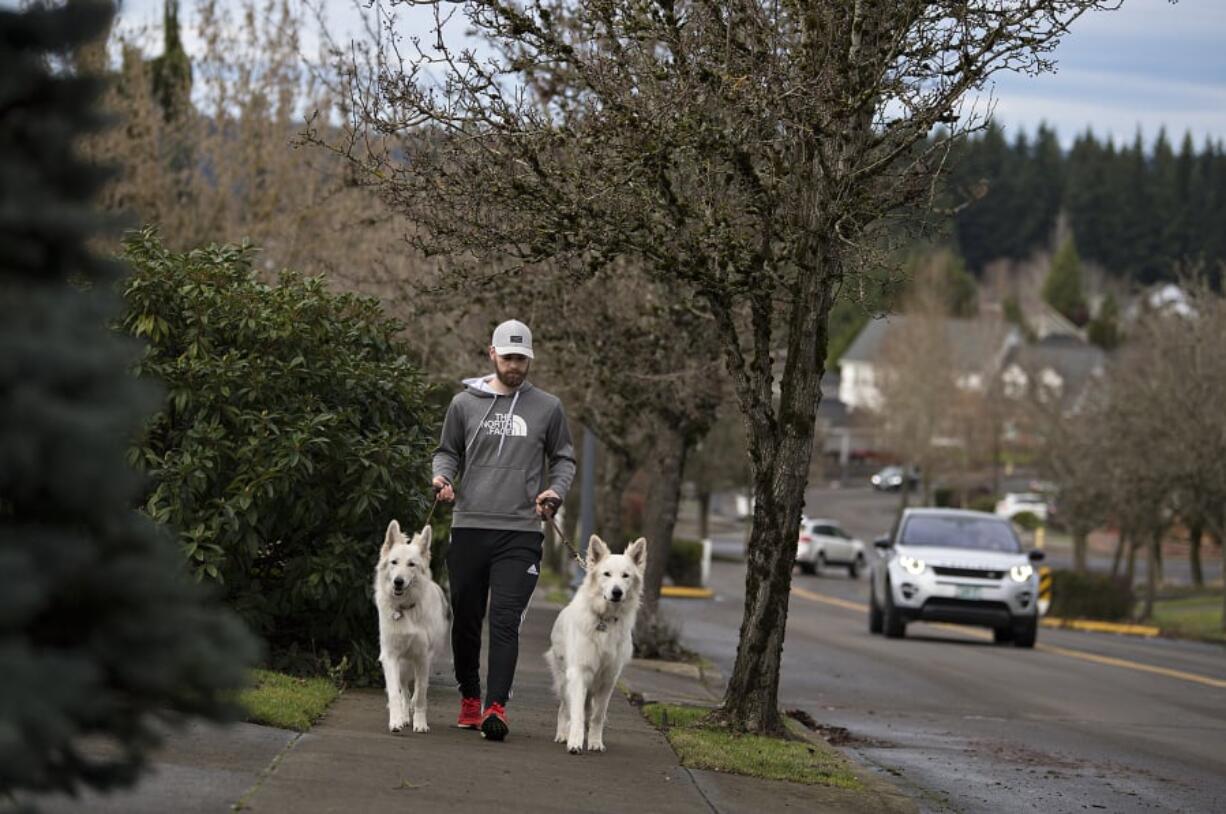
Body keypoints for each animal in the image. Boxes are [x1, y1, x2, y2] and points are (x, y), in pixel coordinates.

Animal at [375, 522, 453, 735]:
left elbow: (420, 695)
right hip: (402, 664)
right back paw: (402, 716)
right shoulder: (391, 656)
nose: (398, 582)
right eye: (394, 562)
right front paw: (396, 721)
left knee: (415, 690)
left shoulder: (423, 658)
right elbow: (395, 693)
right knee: (403, 689)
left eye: (411, 564)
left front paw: (420, 723)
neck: (405, 609)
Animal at [544, 534, 647, 755]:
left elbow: (598, 715)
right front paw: (574, 742)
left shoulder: (608, 679)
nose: (616, 592)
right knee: (564, 709)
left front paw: (594, 742)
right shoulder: (579, 673)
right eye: (606, 574)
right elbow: (577, 714)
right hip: (565, 680)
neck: (605, 619)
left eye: (625, 576)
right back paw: (563, 734)